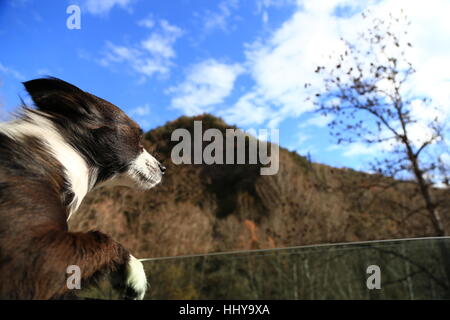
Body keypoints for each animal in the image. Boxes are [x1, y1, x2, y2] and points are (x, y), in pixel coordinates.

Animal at [0, 77, 165, 300]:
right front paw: (135, 274)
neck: (70, 152)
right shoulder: (35, 256)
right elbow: (104, 239)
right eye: (138, 139)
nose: (163, 168)